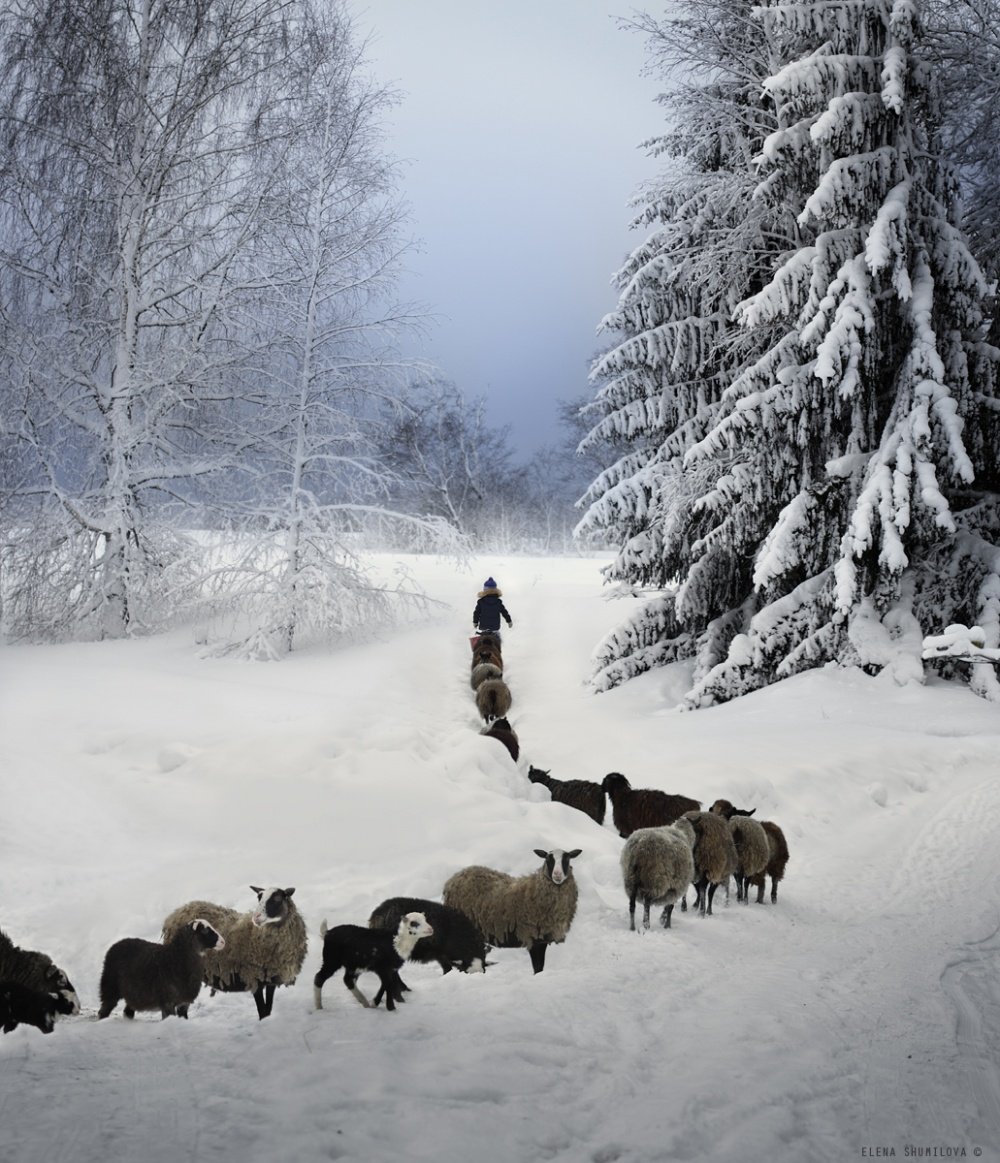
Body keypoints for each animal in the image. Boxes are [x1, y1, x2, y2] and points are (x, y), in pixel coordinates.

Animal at [162, 888, 309, 1018]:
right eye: (259, 897)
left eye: (277, 898)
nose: (256, 917)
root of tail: (174, 914)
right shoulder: (253, 979)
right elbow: (262, 1012)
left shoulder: (270, 981)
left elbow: (268, 1010)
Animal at [444, 846, 581, 972]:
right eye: (548, 859)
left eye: (567, 859)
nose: (557, 875)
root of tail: (454, 878)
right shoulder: (532, 938)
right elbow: (537, 968)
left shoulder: (541, 941)